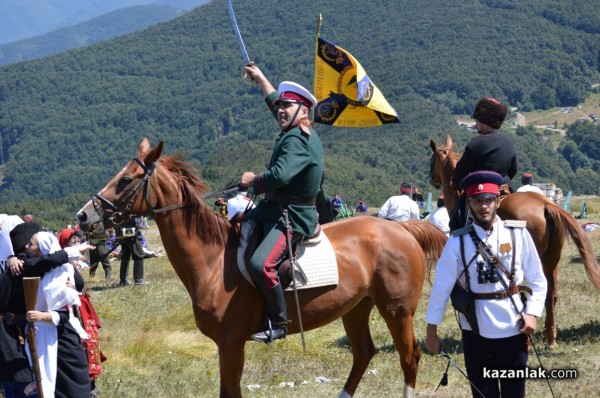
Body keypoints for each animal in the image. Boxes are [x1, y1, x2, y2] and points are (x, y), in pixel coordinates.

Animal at [77, 138, 448, 396]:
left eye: (126, 180)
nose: (84, 216)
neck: (214, 261)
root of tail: (402, 229)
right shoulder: (228, 345)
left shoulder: (230, 343)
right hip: (356, 308)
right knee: (363, 354)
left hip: (397, 311)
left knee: (409, 357)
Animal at [428, 134, 596, 346]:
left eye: (432, 158)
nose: (431, 178)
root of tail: (545, 205)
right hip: (550, 260)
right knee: (550, 293)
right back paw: (550, 337)